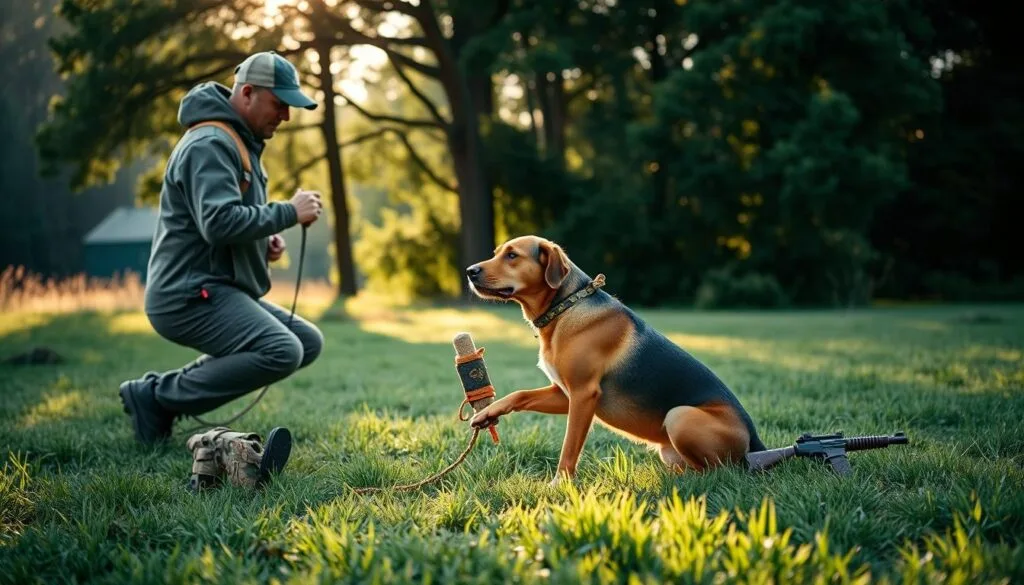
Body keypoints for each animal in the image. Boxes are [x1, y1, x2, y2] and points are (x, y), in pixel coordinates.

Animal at [468, 234, 765, 485]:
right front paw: (486, 413)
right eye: (498, 253)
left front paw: (559, 484)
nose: (470, 271)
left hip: (679, 416)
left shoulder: (583, 394)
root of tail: (755, 443)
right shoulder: (564, 394)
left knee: (718, 471)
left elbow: (569, 446)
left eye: (512, 255)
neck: (565, 307)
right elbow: (519, 395)